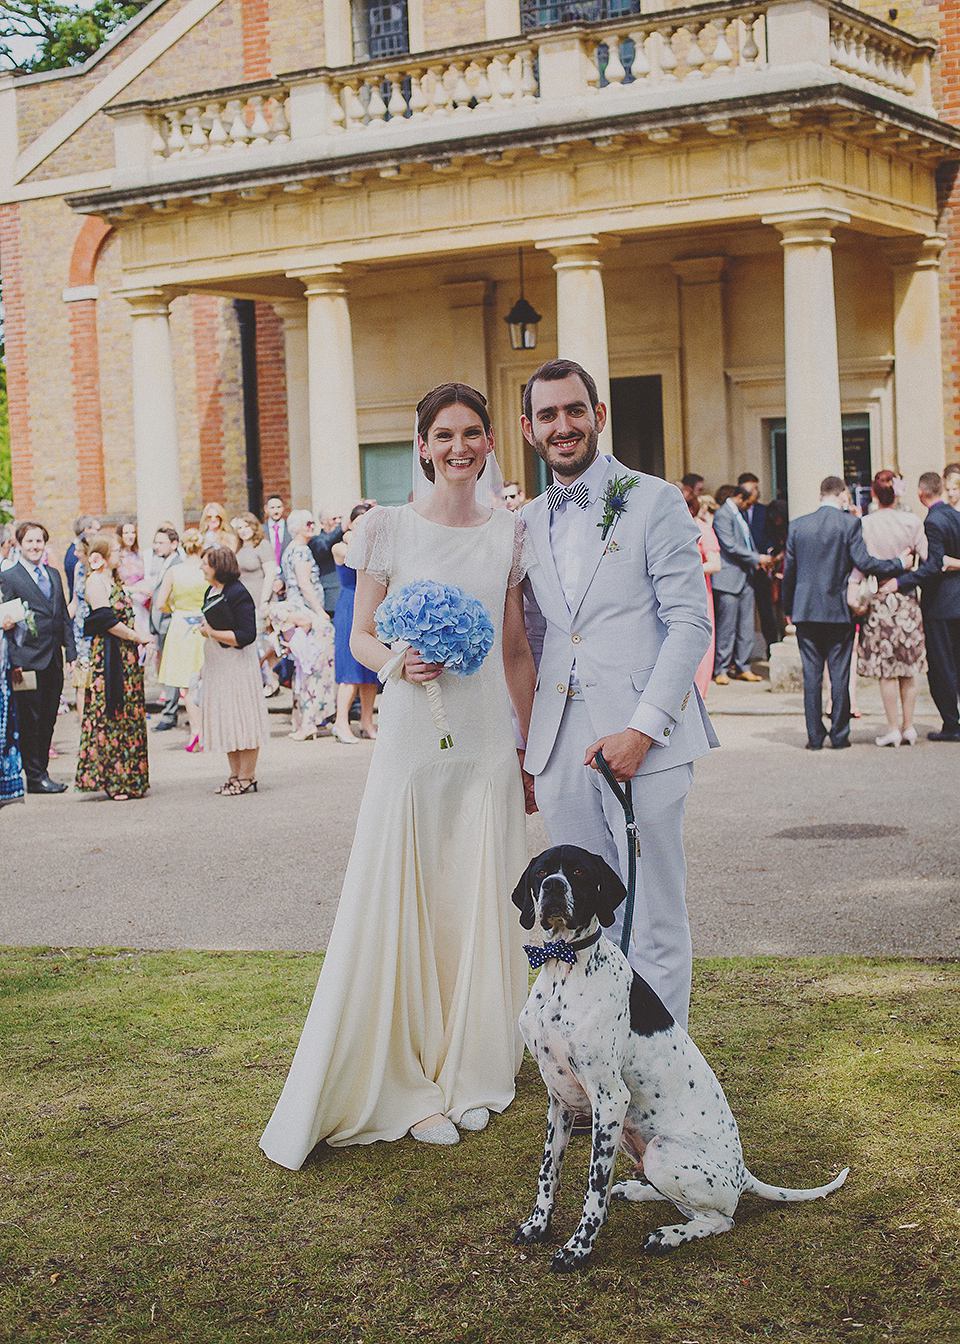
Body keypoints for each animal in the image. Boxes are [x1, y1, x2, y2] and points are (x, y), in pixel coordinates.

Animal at [508, 844, 844, 1274]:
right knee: (679, 1201)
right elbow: (549, 1171)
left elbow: (593, 1189)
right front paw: (538, 1225)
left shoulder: (610, 1098)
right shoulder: (560, 1099)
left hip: (662, 1150)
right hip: (638, 1144)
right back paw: (636, 1192)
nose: (552, 886)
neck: (561, 967)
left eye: (579, 872)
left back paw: (667, 1236)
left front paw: (578, 1249)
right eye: (541, 872)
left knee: (720, 1219)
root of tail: (742, 1174)